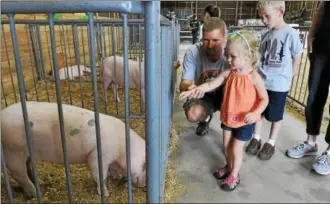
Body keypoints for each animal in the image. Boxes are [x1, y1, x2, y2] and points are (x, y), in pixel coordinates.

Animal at [0, 101, 146, 198]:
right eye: (145, 165)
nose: (144, 185)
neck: (123, 147)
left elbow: (113, 169)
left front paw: (117, 177)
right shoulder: (98, 155)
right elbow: (99, 175)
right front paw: (105, 194)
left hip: (27, 153)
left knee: (28, 167)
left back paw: (40, 183)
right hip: (13, 151)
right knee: (18, 173)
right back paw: (36, 193)